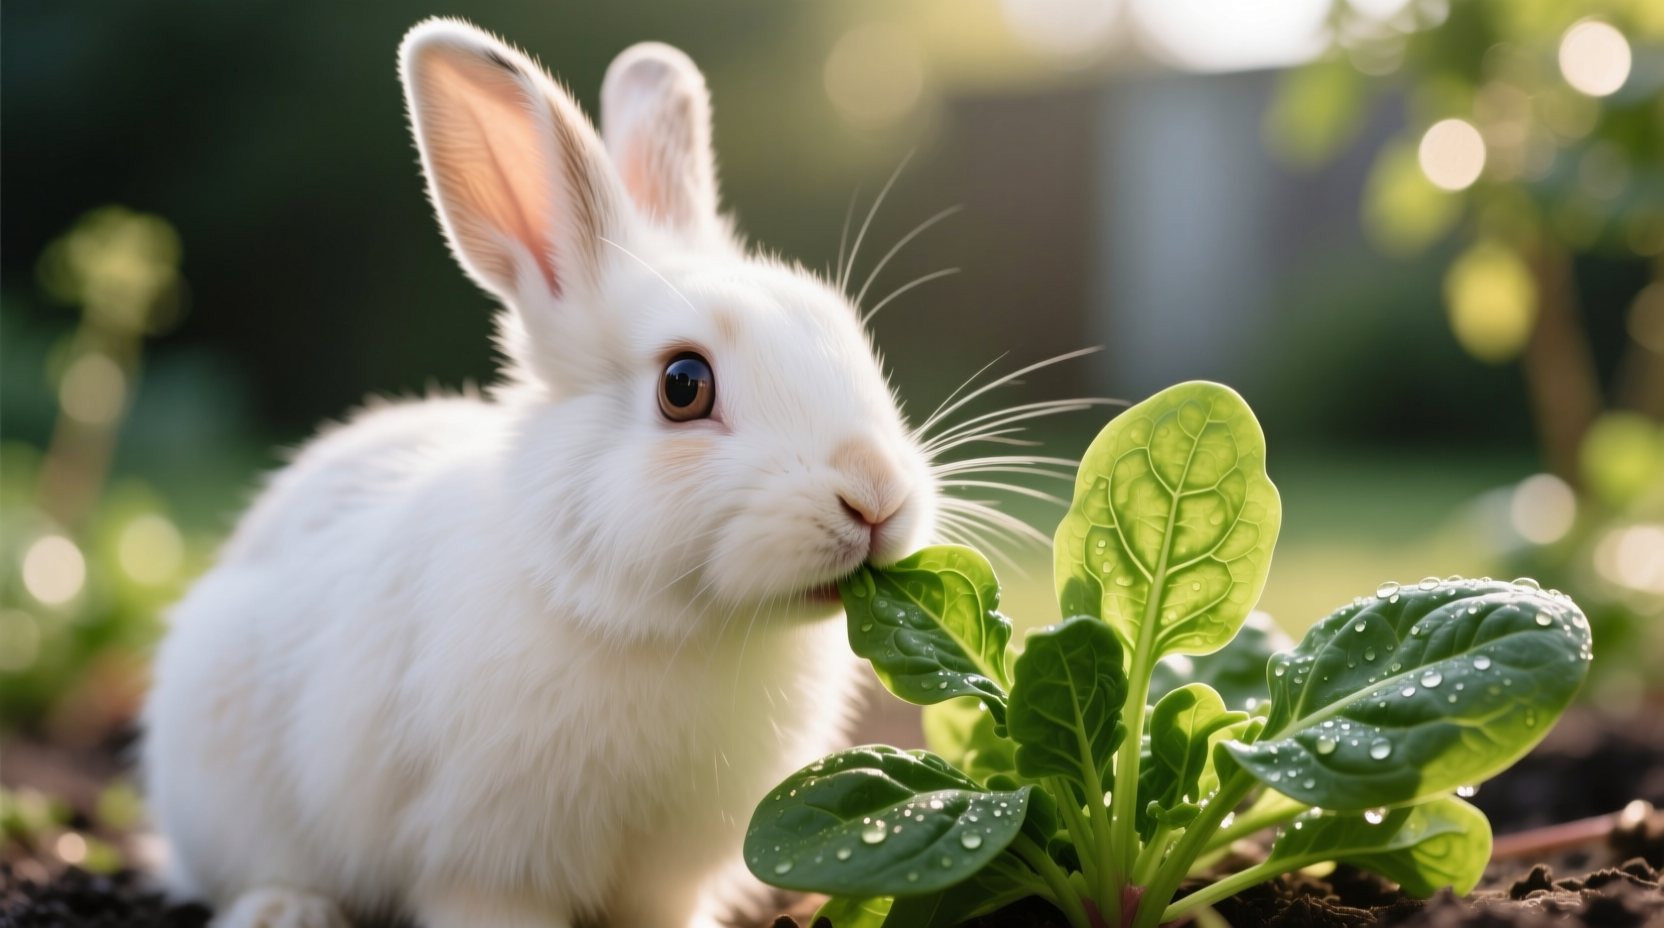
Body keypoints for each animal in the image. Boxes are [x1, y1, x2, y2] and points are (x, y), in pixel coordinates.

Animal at [140, 17, 941, 928]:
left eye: (843, 331)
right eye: (684, 385)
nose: (875, 496)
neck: (661, 625)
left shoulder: (665, 877)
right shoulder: (487, 861)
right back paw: (287, 908)